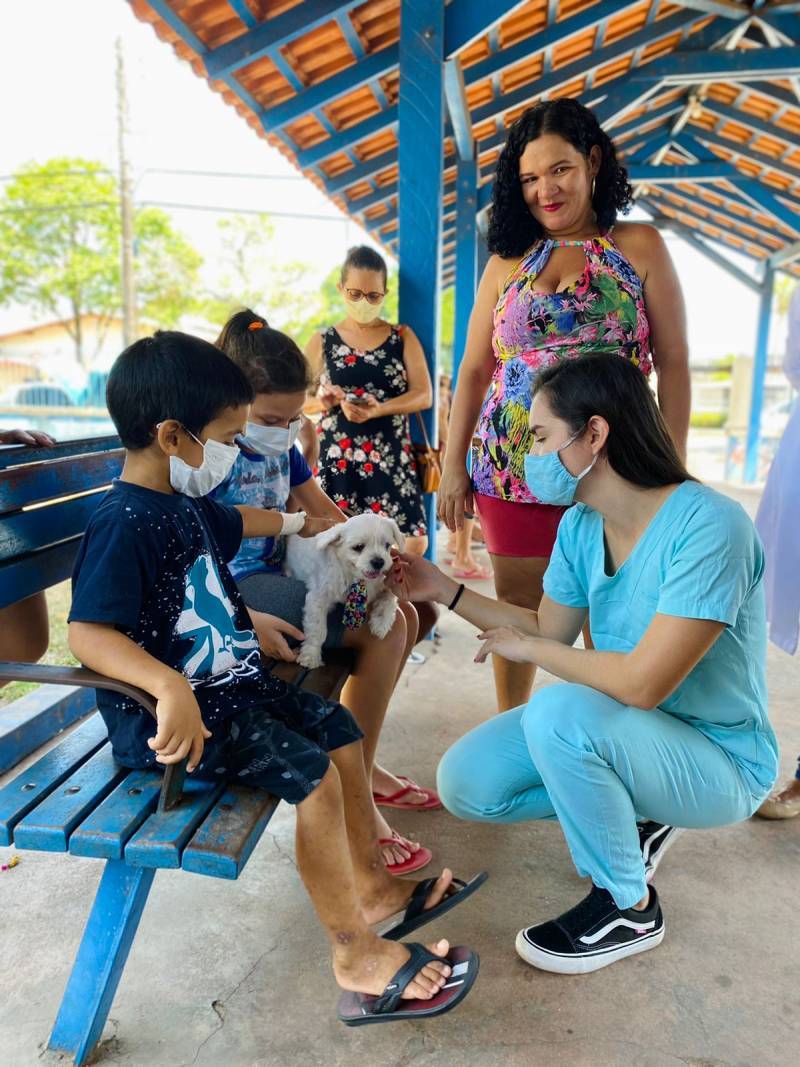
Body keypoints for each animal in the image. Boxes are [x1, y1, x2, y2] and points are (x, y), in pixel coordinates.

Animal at [283, 510, 407, 665]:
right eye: (358, 547)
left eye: (387, 545)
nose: (379, 561)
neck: (356, 578)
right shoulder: (318, 598)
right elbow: (317, 629)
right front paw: (311, 655)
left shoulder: (384, 583)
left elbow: (390, 599)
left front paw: (381, 622)